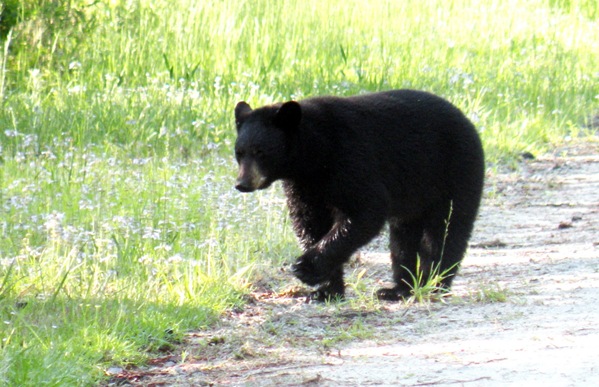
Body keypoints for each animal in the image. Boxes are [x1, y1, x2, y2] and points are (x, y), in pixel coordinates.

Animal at [232, 89, 486, 302]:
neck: (316, 154)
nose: (242, 184)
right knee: (403, 238)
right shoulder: (304, 185)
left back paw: (434, 284)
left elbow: (366, 210)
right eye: (239, 152)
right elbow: (309, 223)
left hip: (455, 172)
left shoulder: (351, 157)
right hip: (414, 199)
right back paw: (398, 289)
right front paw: (326, 290)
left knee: (447, 230)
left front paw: (305, 268)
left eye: (261, 152)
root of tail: (468, 122)